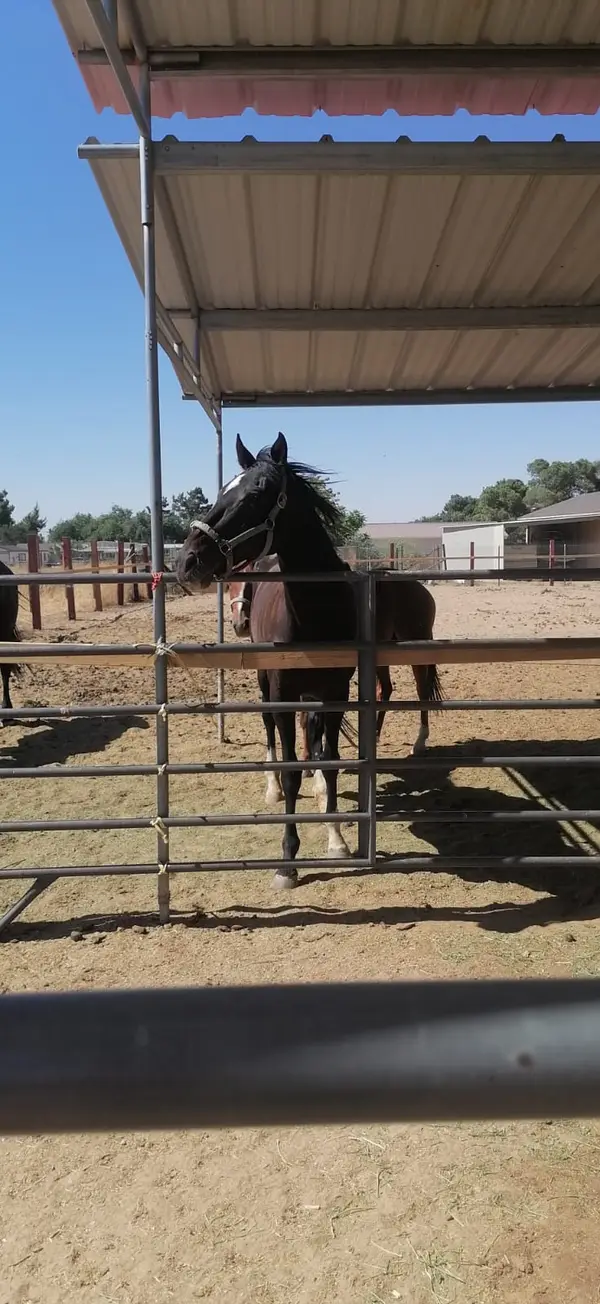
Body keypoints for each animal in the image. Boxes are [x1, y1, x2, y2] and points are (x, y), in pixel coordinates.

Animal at [176, 432, 357, 887]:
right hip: (264, 683)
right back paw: (272, 786)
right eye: (222, 488)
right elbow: (290, 768)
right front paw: (287, 860)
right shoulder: (280, 691)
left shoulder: (336, 692)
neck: (316, 612)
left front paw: (336, 838)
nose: (186, 562)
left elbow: (330, 764)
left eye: (257, 492)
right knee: (272, 733)